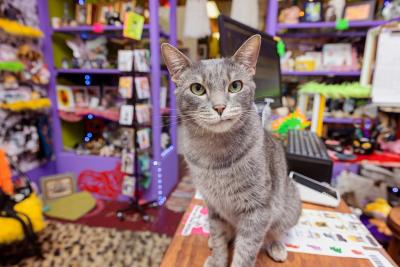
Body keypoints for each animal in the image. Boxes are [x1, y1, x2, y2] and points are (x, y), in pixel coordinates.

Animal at [160, 35, 300, 267]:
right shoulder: (213, 205)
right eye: (197, 89)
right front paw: (218, 258)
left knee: (275, 230)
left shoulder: (258, 211)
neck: (215, 153)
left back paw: (276, 244)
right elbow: (218, 236)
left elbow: (246, 250)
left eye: (235, 86)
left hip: (289, 206)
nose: (219, 107)